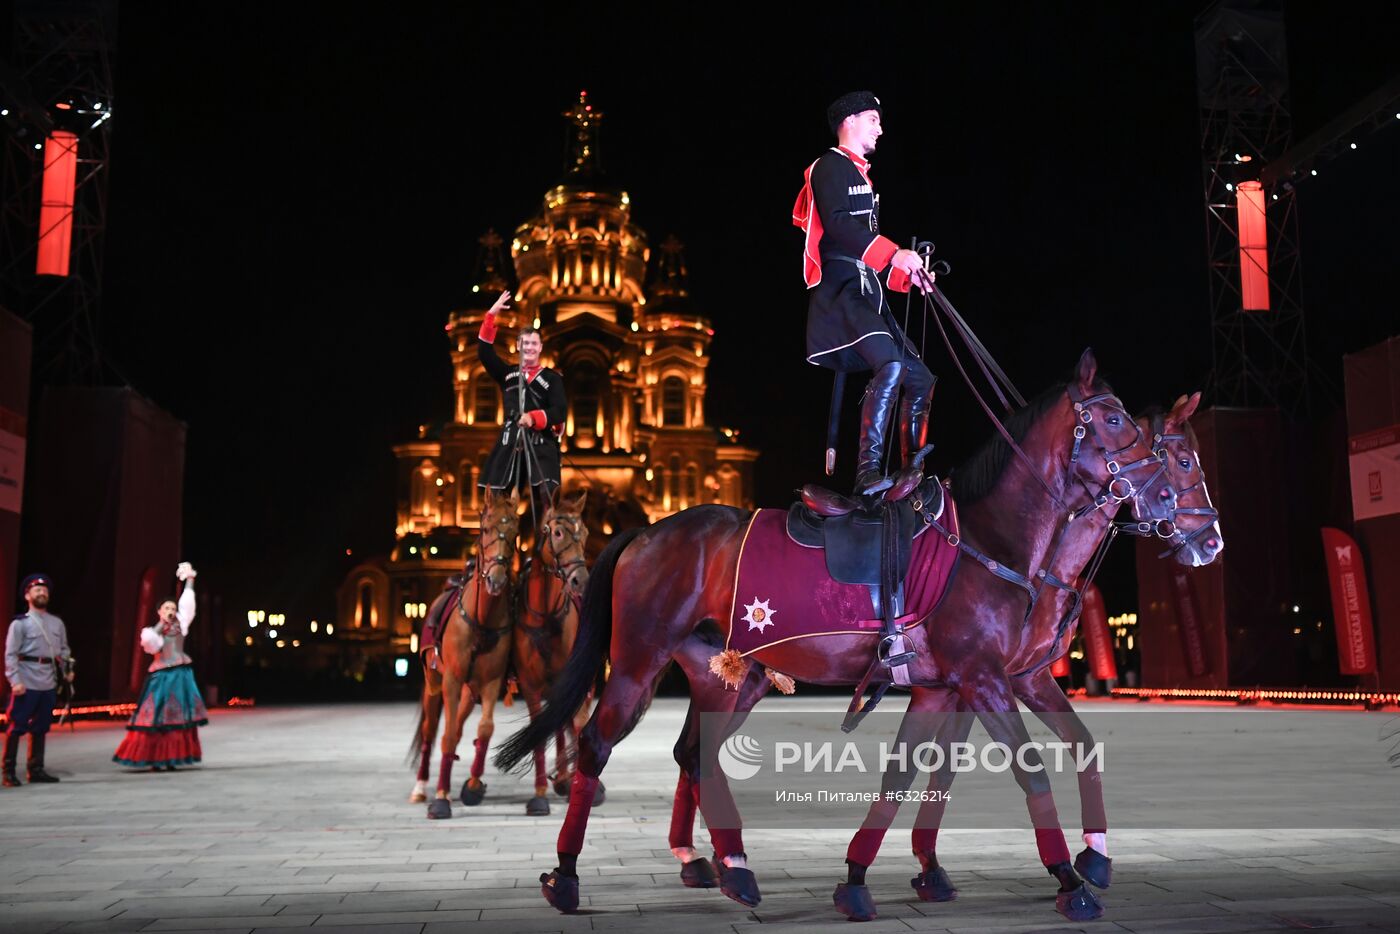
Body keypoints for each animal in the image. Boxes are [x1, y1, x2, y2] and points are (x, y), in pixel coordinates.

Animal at [408, 490, 520, 817]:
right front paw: (441, 797)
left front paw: (471, 785)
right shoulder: (451, 681)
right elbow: (444, 735)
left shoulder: (492, 682)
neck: (482, 619)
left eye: (515, 533)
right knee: (432, 731)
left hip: (470, 692)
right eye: (486, 529)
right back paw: (421, 787)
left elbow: (484, 729)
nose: (496, 579)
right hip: (434, 685)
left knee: (457, 727)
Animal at [512, 492, 593, 812]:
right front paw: (539, 793)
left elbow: (573, 723)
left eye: (586, 533)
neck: (546, 615)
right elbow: (539, 731)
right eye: (557, 532)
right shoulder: (530, 685)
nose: (581, 580)